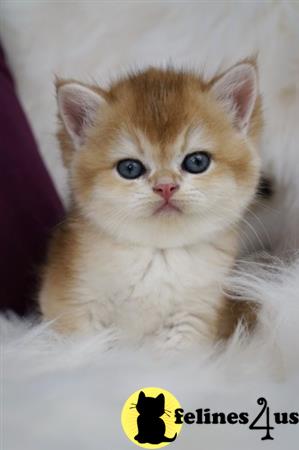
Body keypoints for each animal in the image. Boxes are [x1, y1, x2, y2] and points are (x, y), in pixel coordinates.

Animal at [39, 61, 262, 350]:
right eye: (130, 168)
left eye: (197, 162)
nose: (165, 187)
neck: (158, 254)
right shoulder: (74, 303)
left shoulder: (193, 317)